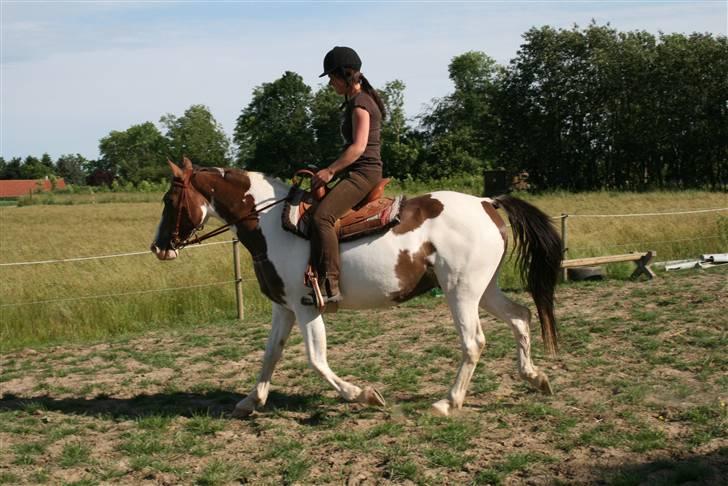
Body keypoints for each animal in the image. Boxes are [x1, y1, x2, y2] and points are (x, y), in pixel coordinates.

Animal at [151, 159, 564, 418]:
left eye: (170, 200)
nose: (158, 247)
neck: (271, 225)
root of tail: (487, 202)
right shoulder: (283, 308)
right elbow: (270, 355)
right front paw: (250, 401)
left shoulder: (307, 307)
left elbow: (316, 360)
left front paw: (363, 395)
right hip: (484, 290)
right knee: (521, 317)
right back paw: (535, 377)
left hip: (460, 293)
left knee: (474, 342)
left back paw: (447, 403)